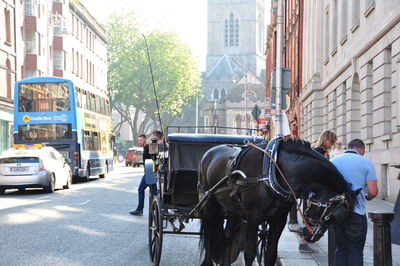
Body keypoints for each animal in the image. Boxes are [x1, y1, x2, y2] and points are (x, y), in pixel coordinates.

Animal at [198, 138, 358, 266]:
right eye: (330, 211)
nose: (310, 236)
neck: (272, 169)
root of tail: (209, 152)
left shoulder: (279, 219)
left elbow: (270, 254)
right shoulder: (253, 217)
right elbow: (250, 253)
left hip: (233, 209)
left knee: (228, 235)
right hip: (209, 203)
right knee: (208, 232)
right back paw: (207, 261)